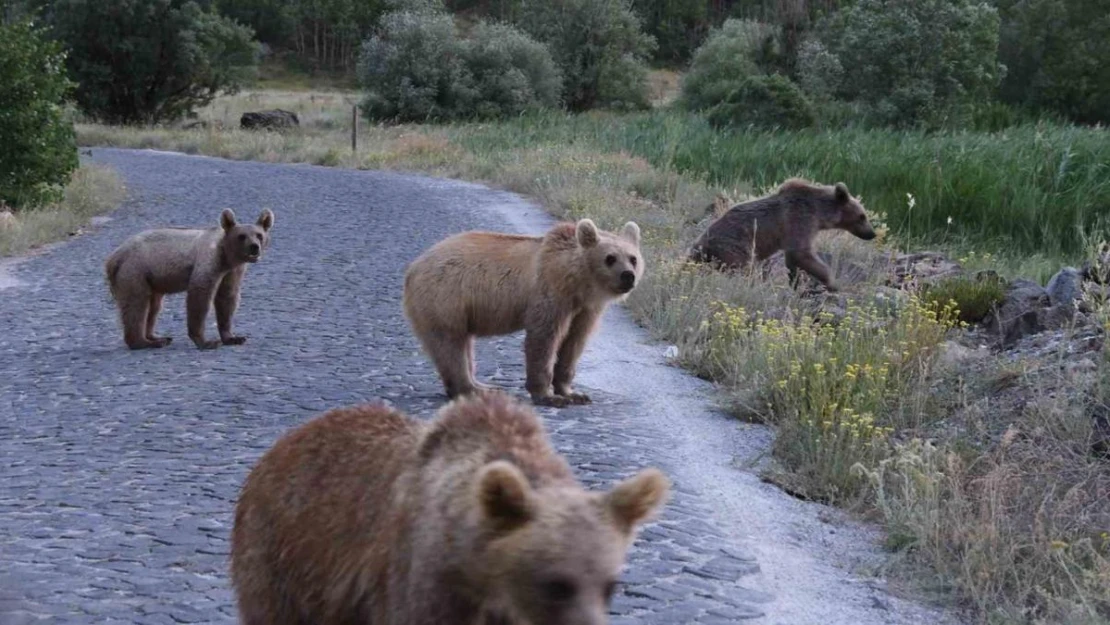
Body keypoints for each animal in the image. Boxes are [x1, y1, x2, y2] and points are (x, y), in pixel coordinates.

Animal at [104, 207, 275, 350]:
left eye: (259, 235)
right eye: (242, 236)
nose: (254, 247)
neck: (227, 256)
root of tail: (113, 257)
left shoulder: (232, 271)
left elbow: (227, 298)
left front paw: (234, 337)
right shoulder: (209, 262)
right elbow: (200, 295)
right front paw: (207, 341)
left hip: (152, 280)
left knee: (154, 306)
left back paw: (157, 337)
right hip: (135, 271)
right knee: (136, 304)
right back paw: (144, 342)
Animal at [401, 217, 643, 408]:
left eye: (633, 258)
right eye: (610, 258)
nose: (628, 276)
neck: (576, 282)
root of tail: (413, 268)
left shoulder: (585, 310)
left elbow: (574, 343)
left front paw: (574, 393)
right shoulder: (550, 295)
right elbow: (544, 339)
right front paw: (549, 395)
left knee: (462, 345)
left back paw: (481, 385)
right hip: (445, 298)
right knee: (450, 344)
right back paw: (473, 389)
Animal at [683, 177, 874, 293]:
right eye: (862, 216)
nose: (872, 234)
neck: (819, 214)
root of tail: (701, 243)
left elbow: (794, 259)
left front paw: (795, 282)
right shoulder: (799, 220)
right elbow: (802, 253)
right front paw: (832, 282)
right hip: (735, 246)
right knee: (745, 269)